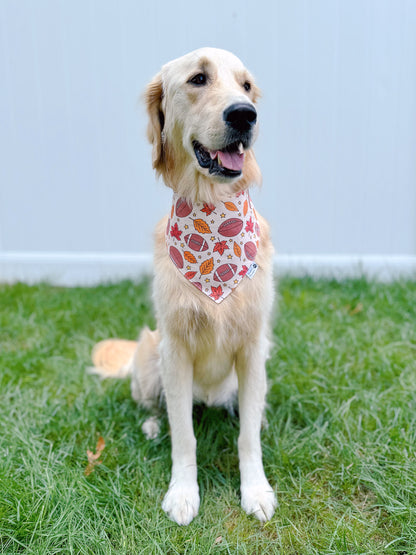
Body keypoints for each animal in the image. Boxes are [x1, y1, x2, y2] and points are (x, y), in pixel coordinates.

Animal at [92, 47, 278, 524]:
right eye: (198, 79)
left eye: (246, 86)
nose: (245, 115)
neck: (213, 215)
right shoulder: (174, 349)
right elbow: (185, 436)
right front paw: (182, 493)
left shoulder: (253, 345)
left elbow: (247, 436)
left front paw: (256, 489)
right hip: (149, 357)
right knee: (155, 408)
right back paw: (152, 424)